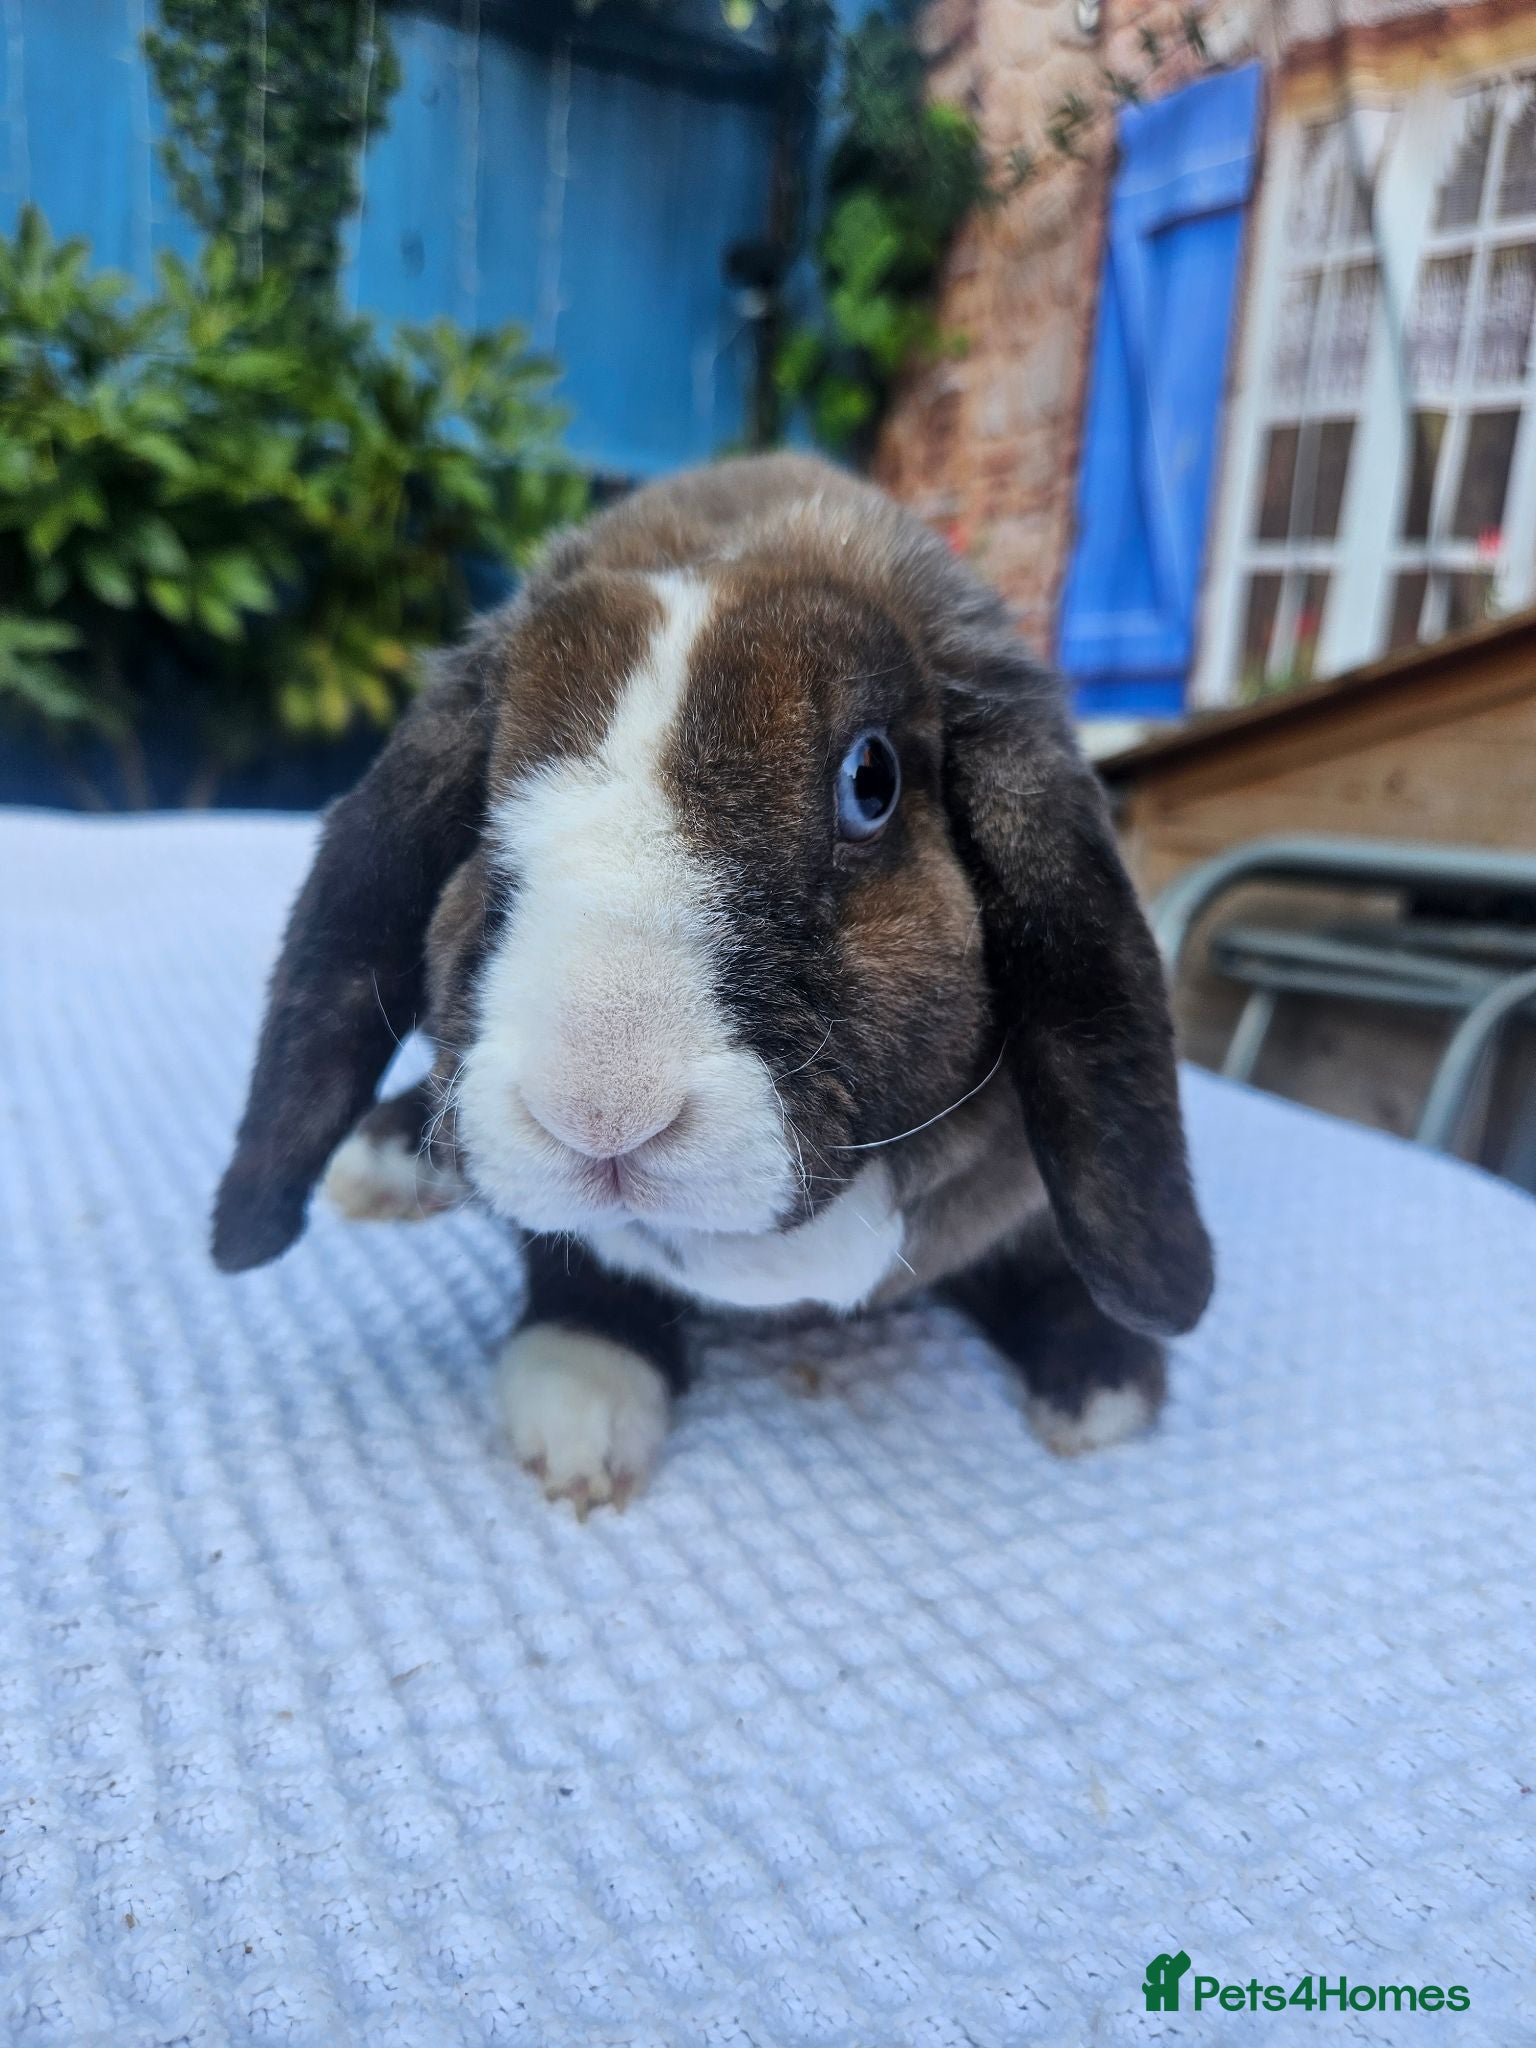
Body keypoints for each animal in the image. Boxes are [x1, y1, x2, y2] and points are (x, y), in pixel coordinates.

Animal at [213, 453, 1212, 1511]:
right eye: (482, 793)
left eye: (870, 782)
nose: (599, 1112)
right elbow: (573, 1257)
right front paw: (582, 1402)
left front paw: (1105, 1381)